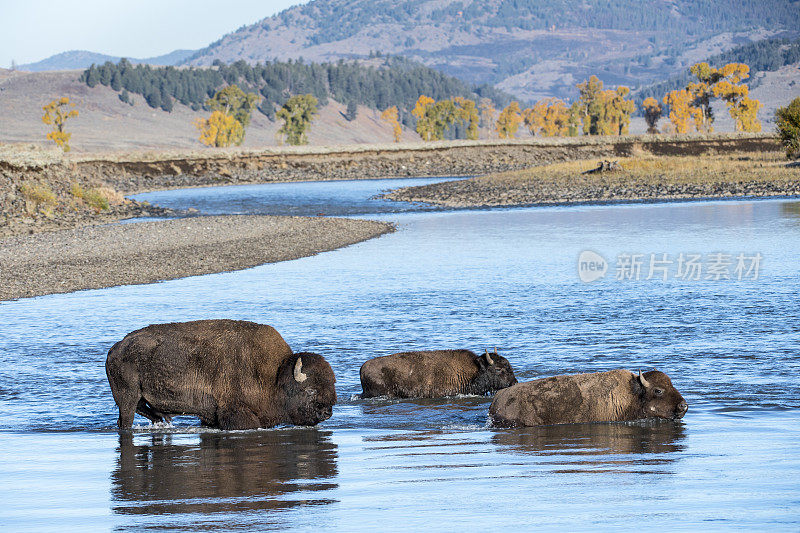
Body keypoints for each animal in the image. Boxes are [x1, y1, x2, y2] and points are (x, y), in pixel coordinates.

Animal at [104, 320, 336, 428]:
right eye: (310, 390)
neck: (276, 375)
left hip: (137, 397)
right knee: (126, 420)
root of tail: (115, 349)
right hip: (126, 398)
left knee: (146, 410)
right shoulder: (236, 412)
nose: (327, 412)